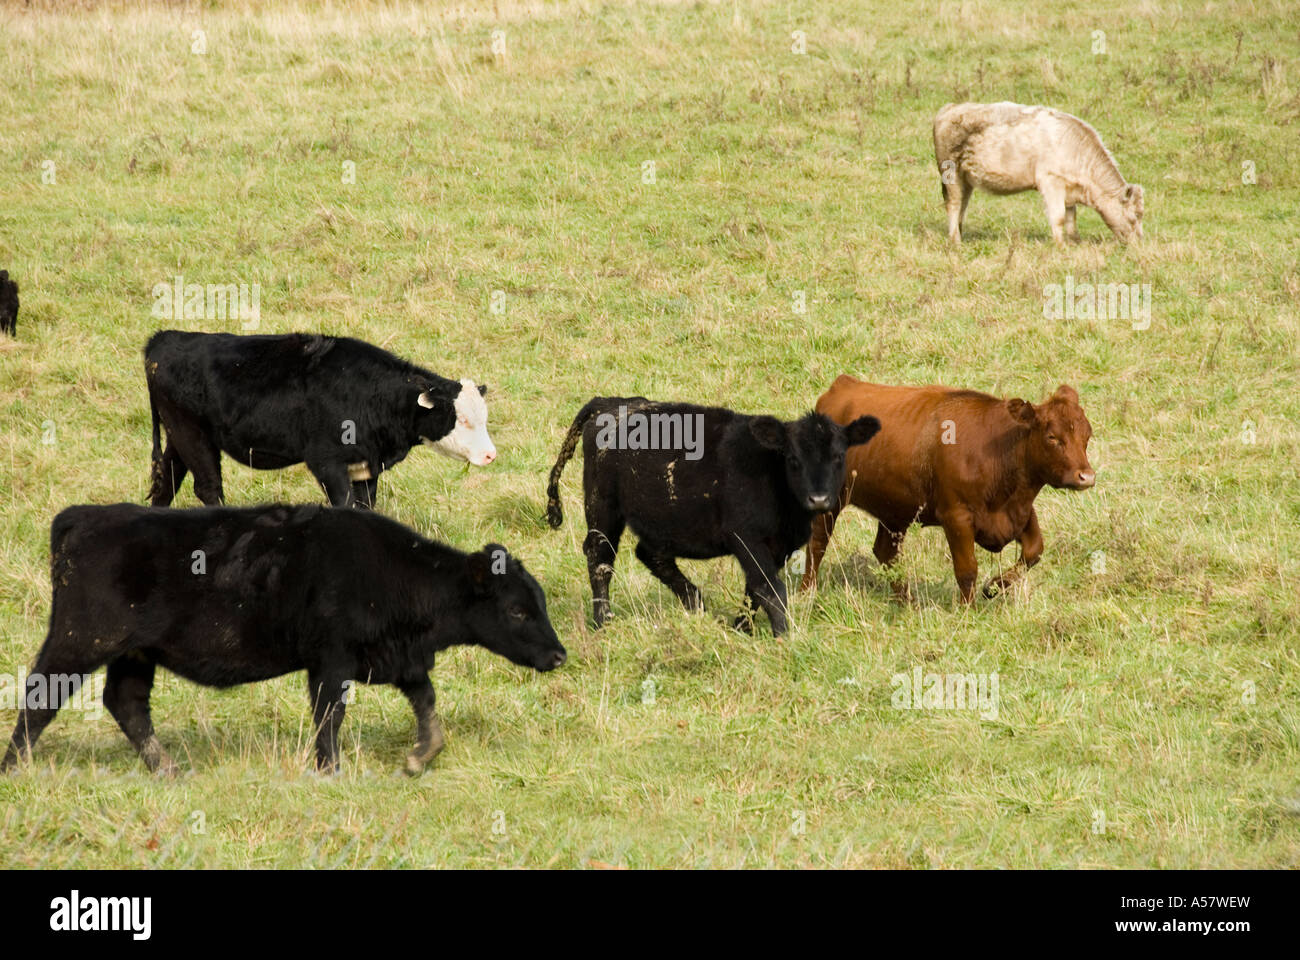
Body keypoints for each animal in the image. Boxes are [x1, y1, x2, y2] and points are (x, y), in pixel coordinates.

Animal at [1, 503, 566, 775]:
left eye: (538, 601)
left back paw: (169, 770)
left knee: (126, 703)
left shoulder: (397, 660)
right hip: (80, 641)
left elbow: (425, 702)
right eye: (517, 609)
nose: (558, 655)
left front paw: (419, 757)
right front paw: (330, 770)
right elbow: (329, 717)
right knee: (40, 695)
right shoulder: (331, 661)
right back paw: (16, 767)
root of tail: (84, 516)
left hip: (134, 653)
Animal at [144, 331, 497, 510]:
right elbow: (344, 504)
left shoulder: (365, 467)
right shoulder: (326, 461)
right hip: (191, 433)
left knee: (167, 482)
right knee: (208, 488)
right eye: (463, 420)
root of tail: (162, 338)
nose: (491, 455)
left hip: (179, 435)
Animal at [545, 397, 880, 636]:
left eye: (839, 456)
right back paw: (603, 621)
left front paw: (741, 629)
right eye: (793, 459)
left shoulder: (780, 546)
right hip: (602, 506)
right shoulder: (745, 537)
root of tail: (609, 402)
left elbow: (755, 589)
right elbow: (769, 589)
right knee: (600, 560)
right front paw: (783, 637)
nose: (819, 499)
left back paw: (696, 604)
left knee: (650, 555)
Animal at [800, 376, 1095, 604]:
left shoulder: (1018, 512)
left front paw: (994, 587)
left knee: (886, 552)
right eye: (1052, 437)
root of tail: (843, 385)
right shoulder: (957, 517)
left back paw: (907, 601)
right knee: (817, 544)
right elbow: (967, 569)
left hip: (895, 509)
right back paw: (807, 593)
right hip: (830, 500)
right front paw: (968, 611)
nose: (1086, 476)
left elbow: (1034, 550)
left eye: (1087, 435)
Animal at [933, 101, 1144, 245]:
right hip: (951, 174)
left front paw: (1075, 242)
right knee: (953, 205)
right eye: (1133, 217)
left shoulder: (1068, 189)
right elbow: (1058, 217)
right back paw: (955, 240)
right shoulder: (1051, 182)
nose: (1138, 243)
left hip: (966, 179)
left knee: (962, 205)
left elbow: (1071, 218)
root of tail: (951, 108)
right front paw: (1060, 246)